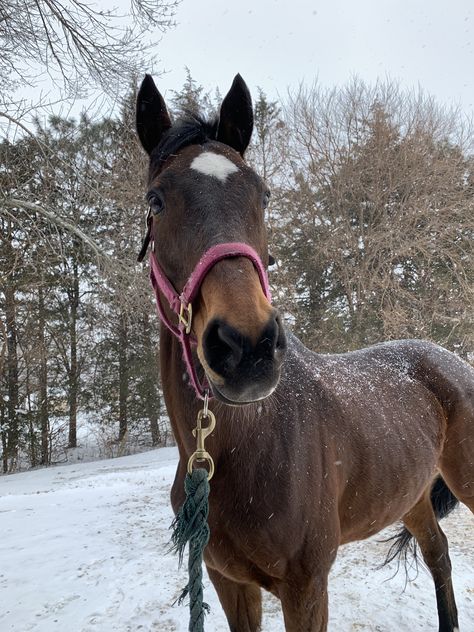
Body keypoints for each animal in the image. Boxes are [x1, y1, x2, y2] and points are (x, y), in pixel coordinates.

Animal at [135, 75, 472, 632]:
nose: (246, 346)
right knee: (437, 553)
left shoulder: (307, 587)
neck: (245, 445)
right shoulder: (229, 583)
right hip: (414, 494)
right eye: (156, 200)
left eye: (265, 195)